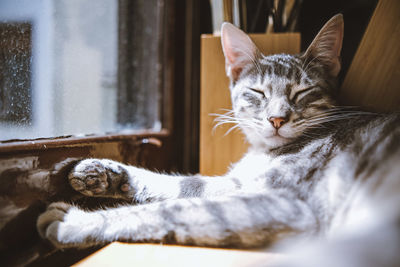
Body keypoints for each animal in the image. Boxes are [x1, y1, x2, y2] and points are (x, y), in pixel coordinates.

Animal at [36, 14, 398, 267]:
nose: (277, 119)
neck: (265, 152)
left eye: (303, 92)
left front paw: (75, 221)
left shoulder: (285, 203)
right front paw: (103, 173)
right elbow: (183, 184)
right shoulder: (240, 184)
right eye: (257, 92)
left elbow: (169, 210)